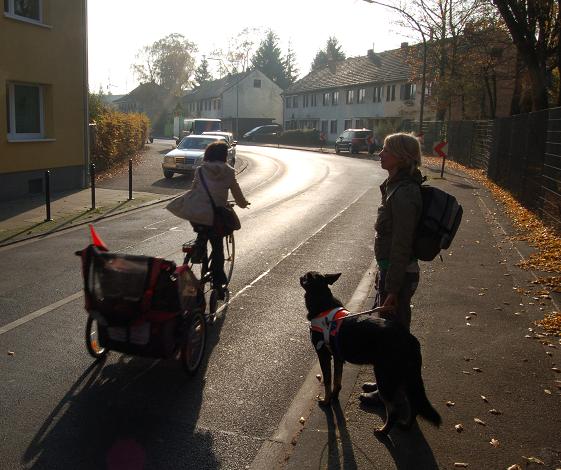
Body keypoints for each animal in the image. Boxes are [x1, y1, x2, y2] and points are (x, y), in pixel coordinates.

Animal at [300, 272, 440, 436]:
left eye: (306, 277)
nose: (300, 276)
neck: (322, 302)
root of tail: (411, 340)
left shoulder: (323, 355)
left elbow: (328, 381)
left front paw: (326, 401)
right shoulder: (338, 358)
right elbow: (337, 381)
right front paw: (334, 397)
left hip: (385, 376)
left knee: (394, 410)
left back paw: (383, 431)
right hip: (404, 377)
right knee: (414, 405)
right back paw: (405, 426)